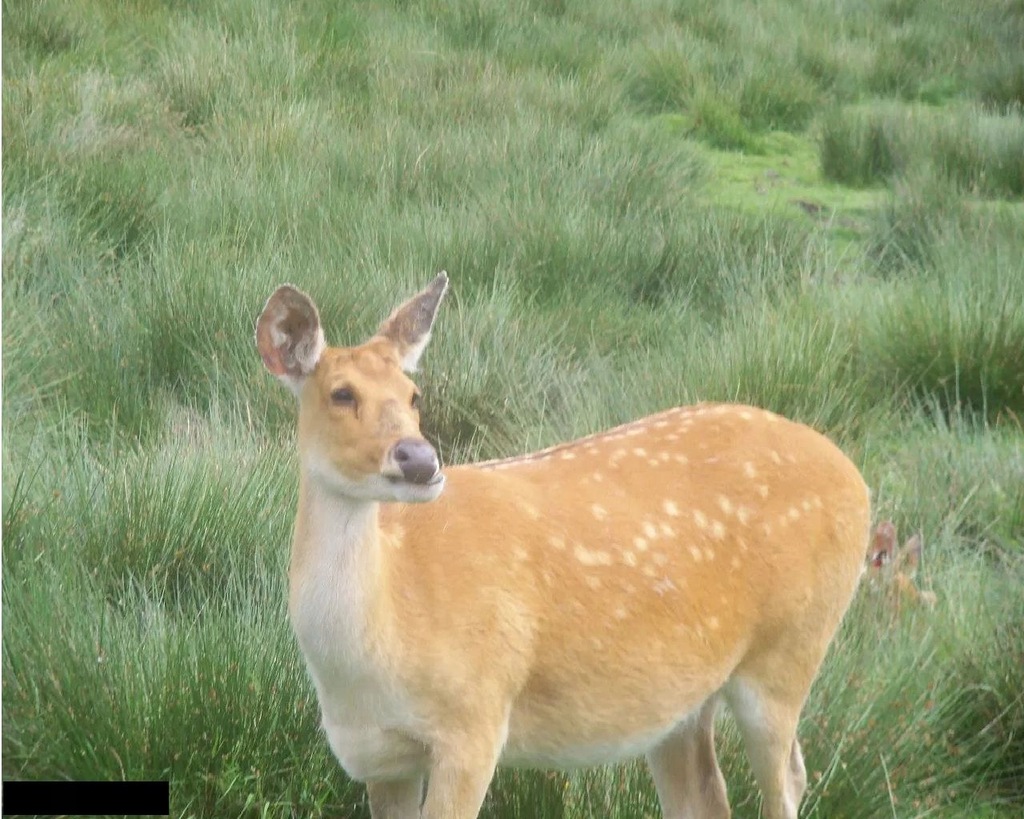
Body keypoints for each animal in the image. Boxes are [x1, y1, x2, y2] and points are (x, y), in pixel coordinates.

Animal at [256, 274, 872, 818]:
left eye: (414, 394)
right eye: (341, 394)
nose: (420, 460)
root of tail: (856, 479)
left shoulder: (476, 718)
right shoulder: (376, 758)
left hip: (791, 645)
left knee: (789, 777)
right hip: (681, 701)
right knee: (706, 796)